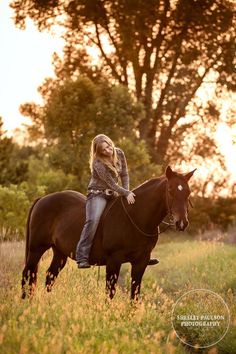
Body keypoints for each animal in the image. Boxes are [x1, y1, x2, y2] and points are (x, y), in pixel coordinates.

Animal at [21, 167, 195, 300]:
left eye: (188, 192)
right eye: (170, 190)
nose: (182, 222)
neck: (136, 217)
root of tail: (42, 199)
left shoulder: (141, 262)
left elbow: (135, 295)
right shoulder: (113, 261)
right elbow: (110, 293)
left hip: (60, 253)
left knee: (49, 277)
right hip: (36, 249)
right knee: (28, 275)